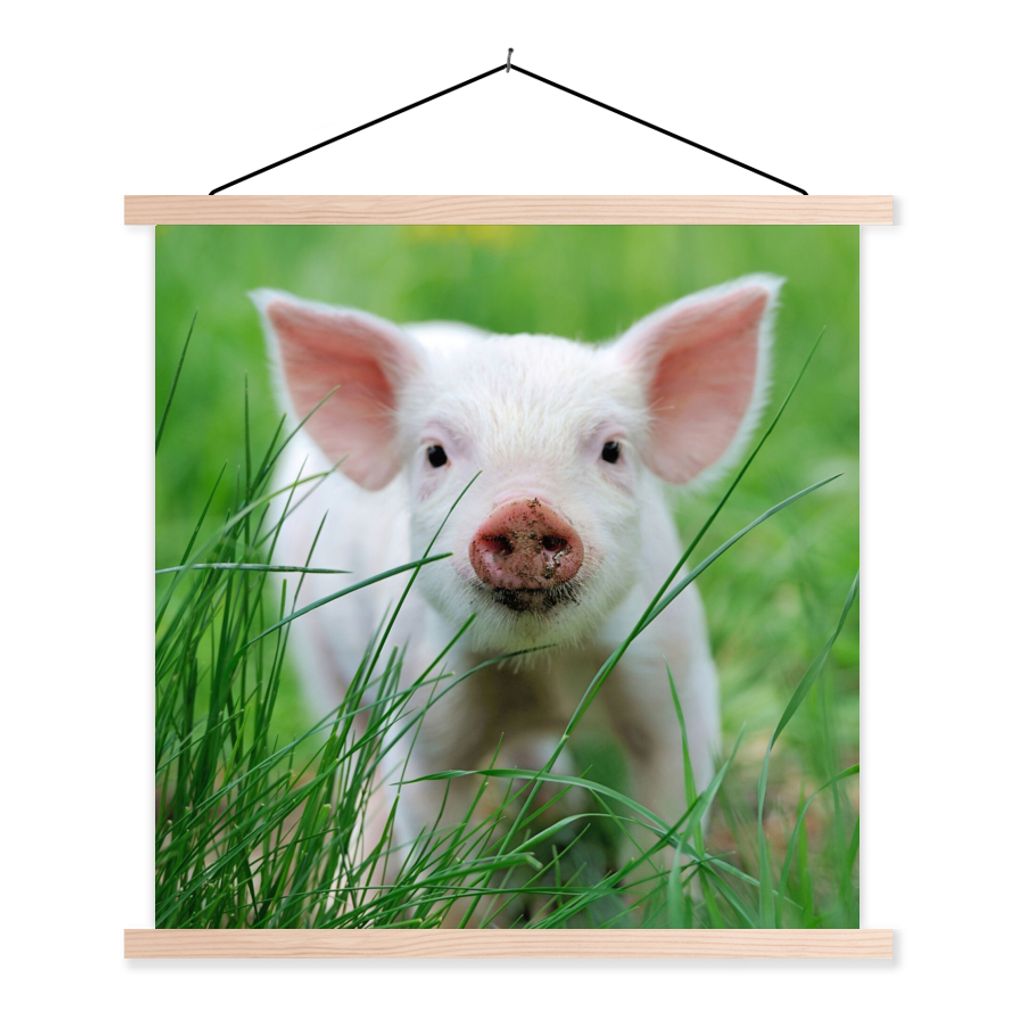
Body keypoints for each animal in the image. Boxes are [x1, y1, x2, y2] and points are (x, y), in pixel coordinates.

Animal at [253, 275, 779, 881]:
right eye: (435, 454)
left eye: (613, 449)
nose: (526, 512)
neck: (541, 667)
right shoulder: (418, 705)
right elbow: (431, 830)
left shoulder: (676, 676)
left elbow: (666, 822)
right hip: (314, 650)